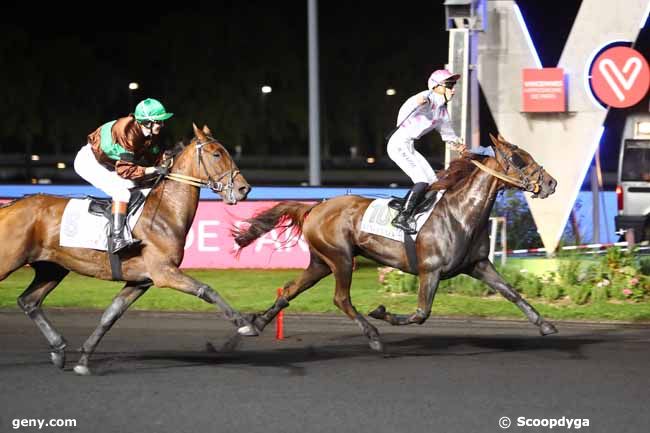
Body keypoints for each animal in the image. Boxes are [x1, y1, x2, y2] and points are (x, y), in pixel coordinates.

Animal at [0, 123, 256, 372]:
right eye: (216, 153)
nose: (244, 189)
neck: (165, 211)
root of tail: (10, 207)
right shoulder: (164, 272)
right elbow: (207, 290)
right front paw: (245, 325)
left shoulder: (140, 281)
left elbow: (110, 315)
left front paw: (83, 360)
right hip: (9, 262)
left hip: (51, 268)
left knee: (29, 302)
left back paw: (59, 348)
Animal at [235, 134, 560, 352]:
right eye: (518, 159)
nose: (551, 182)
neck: (460, 214)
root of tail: (314, 207)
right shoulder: (431, 270)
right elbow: (421, 314)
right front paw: (382, 313)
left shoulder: (478, 264)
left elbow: (512, 293)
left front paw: (545, 324)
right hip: (341, 258)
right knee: (341, 298)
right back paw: (372, 335)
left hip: (321, 261)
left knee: (291, 288)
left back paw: (255, 324)